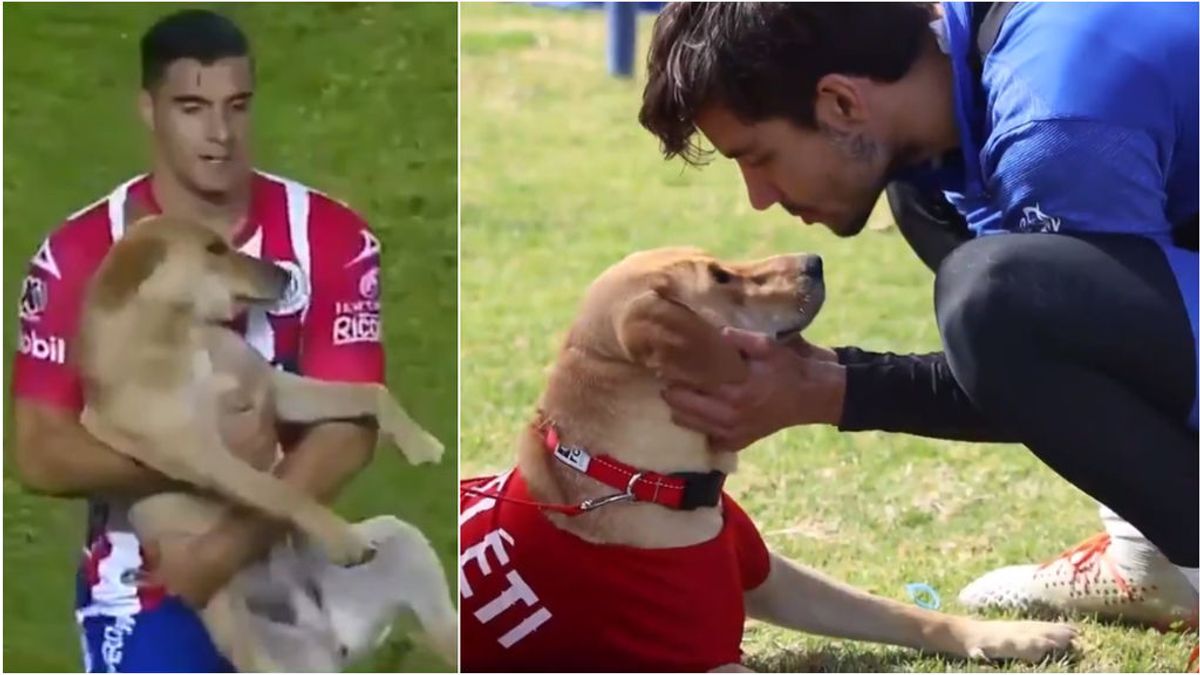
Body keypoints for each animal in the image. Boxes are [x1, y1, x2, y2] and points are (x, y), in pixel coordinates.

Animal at [75, 214, 451, 667]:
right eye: (214, 249)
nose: (286, 274)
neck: (180, 334)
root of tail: (331, 636)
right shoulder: (206, 456)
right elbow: (282, 491)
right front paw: (344, 539)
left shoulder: (276, 390)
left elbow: (367, 392)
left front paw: (420, 442)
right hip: (250, 640)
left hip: (407, 547)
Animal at [458, 246, 1080, 667]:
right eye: (721, 277)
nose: (815, 259)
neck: (650, 481)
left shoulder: (771, 572)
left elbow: (900, 612)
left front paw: (1009, 636)